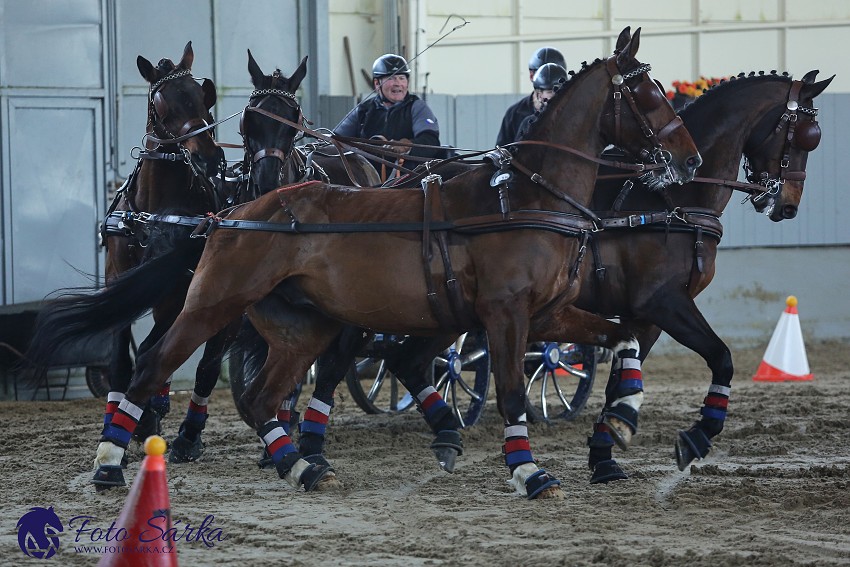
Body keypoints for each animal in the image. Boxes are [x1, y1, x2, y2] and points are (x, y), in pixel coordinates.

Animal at [79, 26, 700, 500]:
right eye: (646, 93)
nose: (689, 158)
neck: (524, 197)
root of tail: (230, 214)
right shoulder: (505, 315)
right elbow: (511, 392)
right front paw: (529, 471)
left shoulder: (547, 315)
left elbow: (620, 338)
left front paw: (621, 419)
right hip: (212, 304)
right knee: (152, 366)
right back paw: (111, 462)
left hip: (303, 326)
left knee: (261, 397)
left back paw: (302, 466)